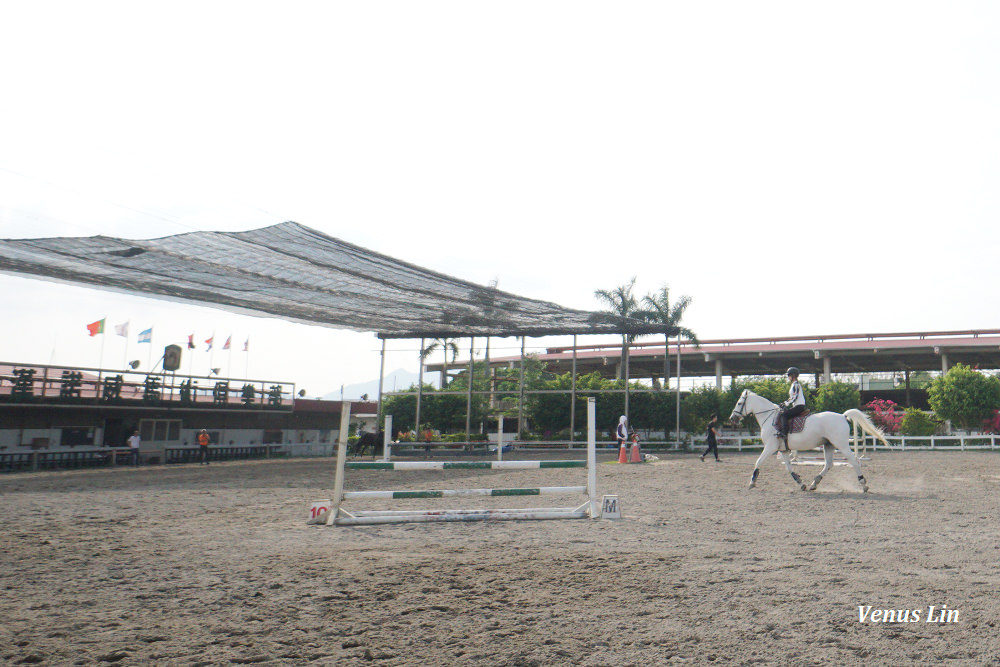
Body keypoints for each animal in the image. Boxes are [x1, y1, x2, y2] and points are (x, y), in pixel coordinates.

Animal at [732, 388, 888, 494]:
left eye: (739, 403)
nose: (732, 419)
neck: (769, 418)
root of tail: (843, 416)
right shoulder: (783, 450)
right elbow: (789, 467)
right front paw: (801, 484)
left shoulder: (770, 447)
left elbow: (758, 462)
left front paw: (752, 482)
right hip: (828, 445)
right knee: (829, 464)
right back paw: (814, 483)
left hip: (842, 445)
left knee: (855, 461)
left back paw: (863, 484)